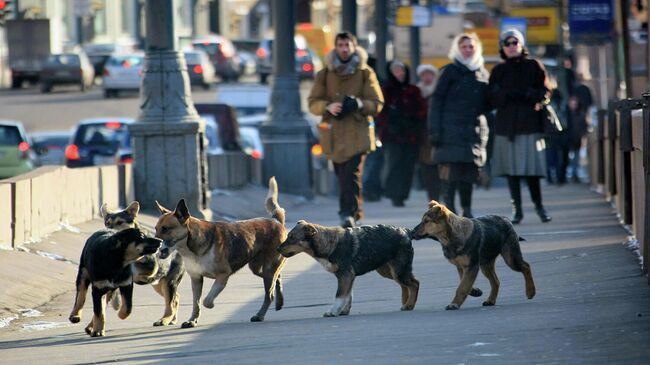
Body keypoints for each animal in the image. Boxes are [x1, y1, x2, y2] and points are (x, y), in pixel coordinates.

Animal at [154, 176, 286, 328]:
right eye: (156, 228)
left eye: (166, 229)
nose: (154, 244)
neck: (190, 247)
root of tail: (276, 220)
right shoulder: (196, 279)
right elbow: (196, 303)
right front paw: (192, 320)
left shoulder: (223, 275)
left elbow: (206, 300)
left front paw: (210, 305)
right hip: (258, 268)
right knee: (278, 277)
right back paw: (279, 301)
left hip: (268, 269)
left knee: (269, 294)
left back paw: (260, 315)